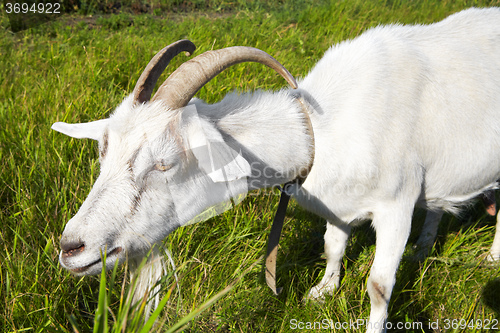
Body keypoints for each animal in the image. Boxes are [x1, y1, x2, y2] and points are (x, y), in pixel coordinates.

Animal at [51, 8, 500, 332]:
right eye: (103, 155)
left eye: (164, 163)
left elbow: (378, 286)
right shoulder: (339, 204)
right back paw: (423, 249)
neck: (319, 131)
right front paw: (321, 292)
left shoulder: (396, 204)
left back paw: (492, 259)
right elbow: (332, 246)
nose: (71, 247)